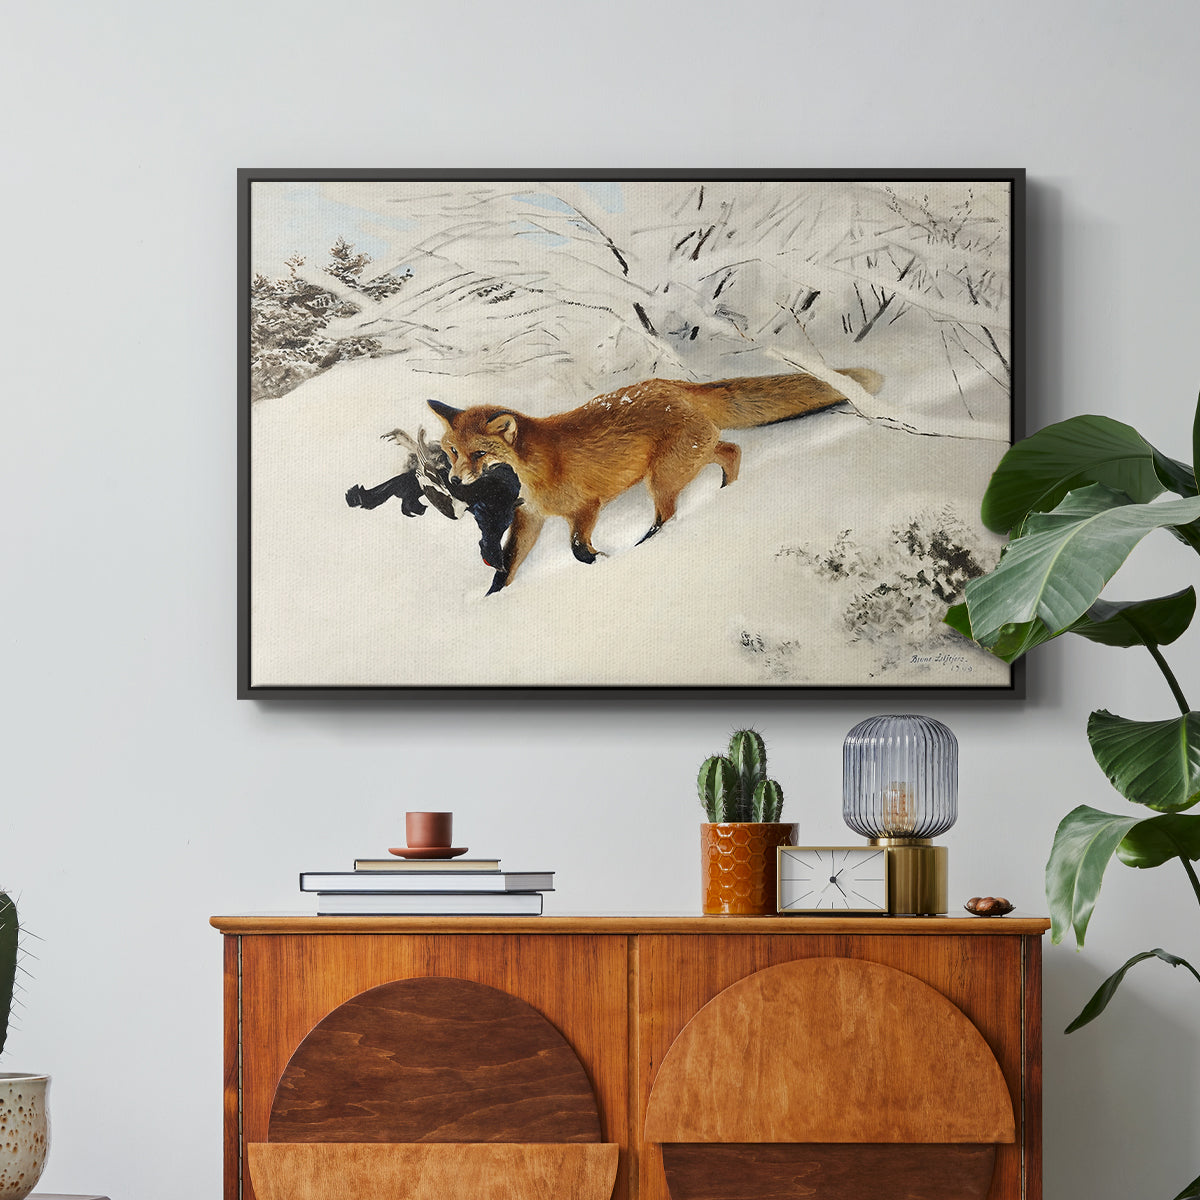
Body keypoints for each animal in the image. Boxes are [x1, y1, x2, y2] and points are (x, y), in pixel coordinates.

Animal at [429, 367, 883, 591]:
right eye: (452, 450)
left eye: (479, 454)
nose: (454, 479)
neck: (535, 468)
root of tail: (676, 385)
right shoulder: (530, 518)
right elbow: (507, 566)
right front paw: (492, 599)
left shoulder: (586, 507)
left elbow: (577, 549)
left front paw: (602, 561)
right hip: (687, 460)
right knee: (732, 450)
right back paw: (726, 492)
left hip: (662, 478)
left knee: (669, 515)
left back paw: (649, 543)